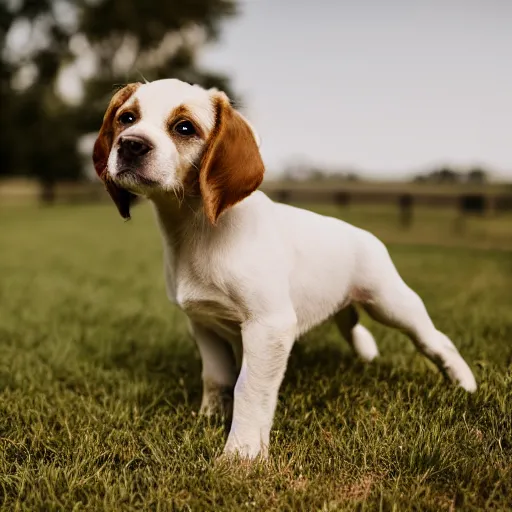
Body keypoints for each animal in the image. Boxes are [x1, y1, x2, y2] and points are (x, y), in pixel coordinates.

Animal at [92, 79, 476, 460]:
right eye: (127, 118)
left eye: (184, 128)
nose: (130, 144)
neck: (197, 231)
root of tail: (362, 234)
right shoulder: (203, 323)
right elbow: (216, 378)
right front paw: (209, 418)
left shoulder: (269, 326)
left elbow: (248, 389)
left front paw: (241, 456)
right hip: (345, 304)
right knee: (352, 326)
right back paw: (367, 354)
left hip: (390, 303)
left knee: (435, 340)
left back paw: (465, 384)